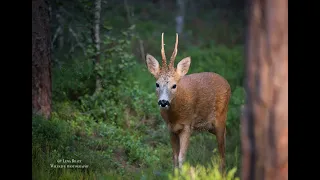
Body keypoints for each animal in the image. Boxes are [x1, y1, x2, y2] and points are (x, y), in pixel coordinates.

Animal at [146, 32, 231, 172]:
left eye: (174, 85)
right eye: (157, 84)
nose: (163, 102)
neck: (175, 116)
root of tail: (227, 83)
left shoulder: (187, 125)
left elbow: (182, 157)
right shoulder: (171, 128)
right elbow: (174, 157)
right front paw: (175, 173)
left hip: (221, 118)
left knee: (222, 153)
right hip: (211, 127)